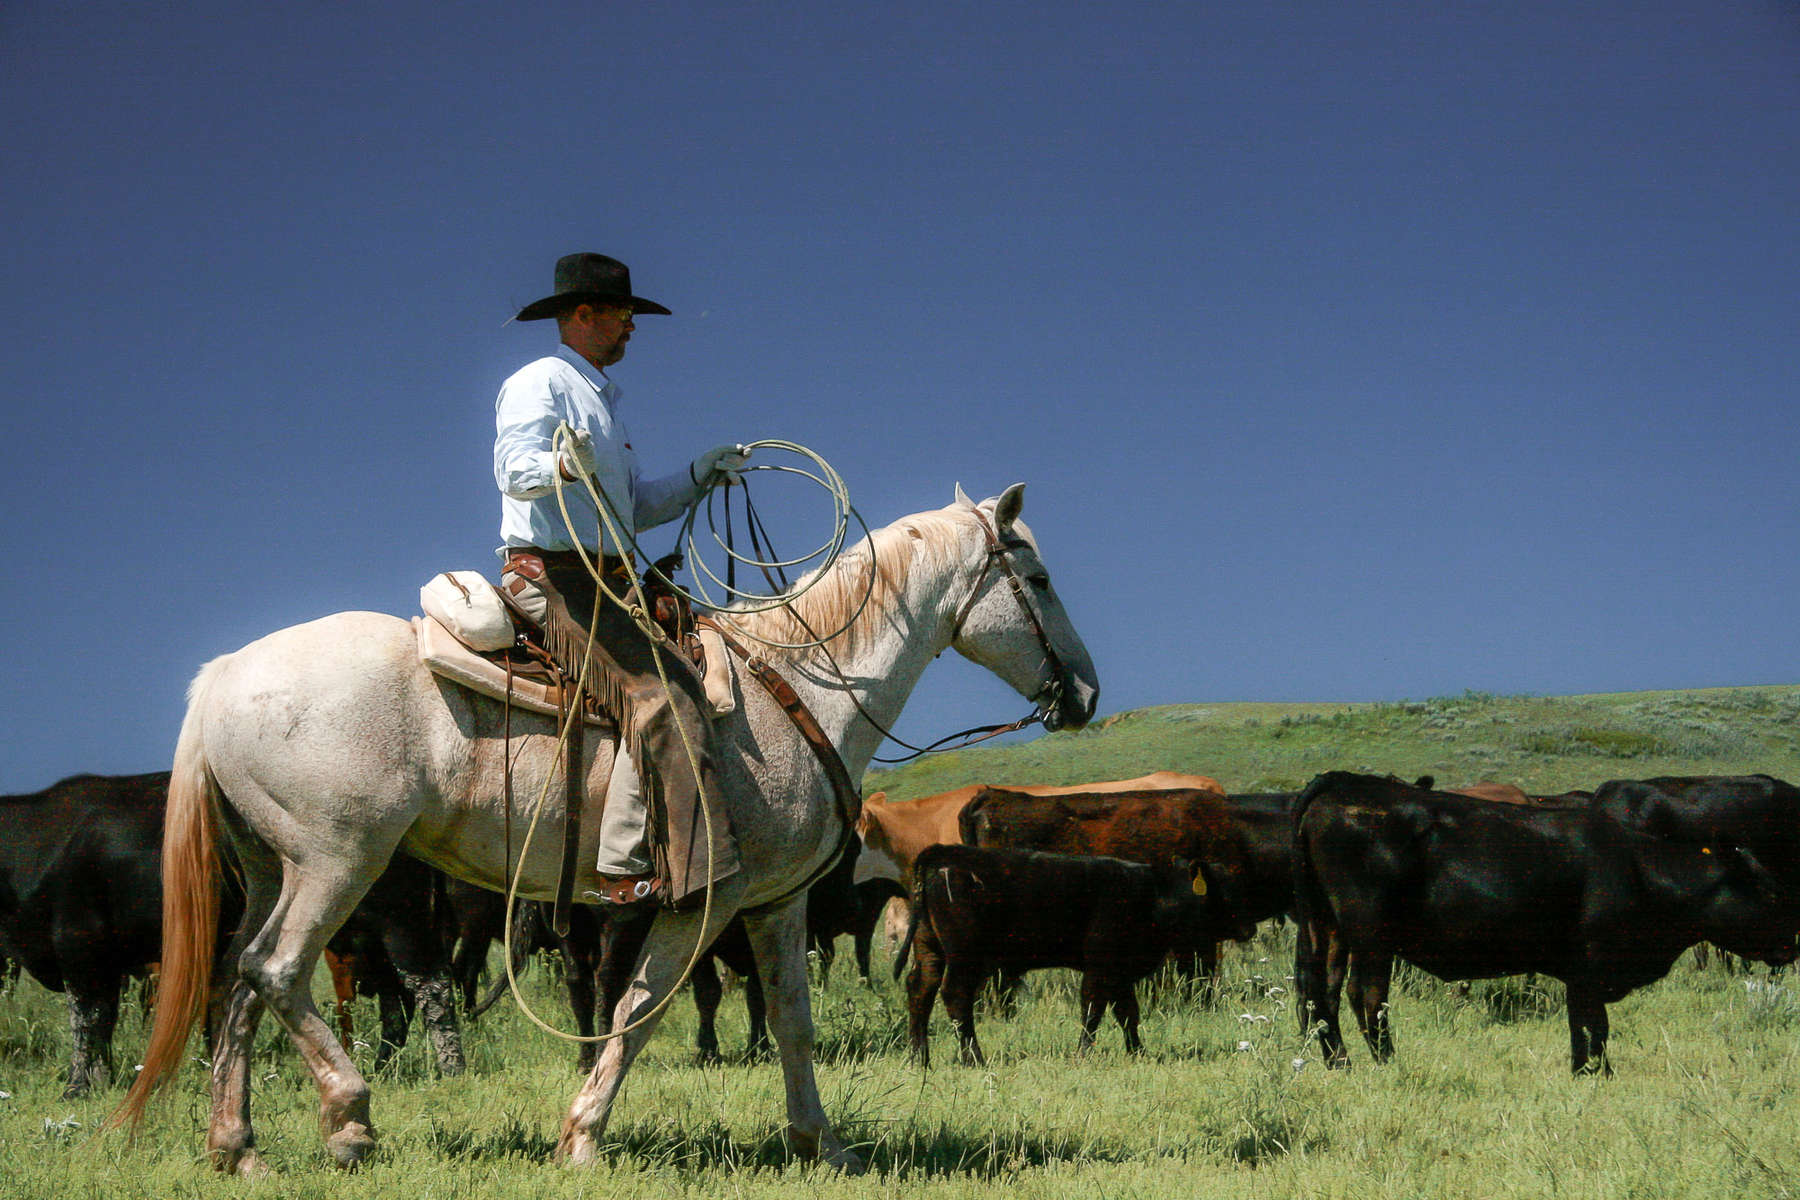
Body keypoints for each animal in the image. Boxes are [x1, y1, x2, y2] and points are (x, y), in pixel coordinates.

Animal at [116, 482, 1094, 1180]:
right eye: (1040, 580)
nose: (1083, 692)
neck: (805, 683)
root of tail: (224, 673)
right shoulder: (701, 903)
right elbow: (640, 1011)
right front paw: (582, 1138)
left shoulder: (774, 905)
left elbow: (791, 1022)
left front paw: (825, 1146)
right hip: (337, 862)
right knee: (277, 971)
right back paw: (349, 1121)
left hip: (272, 870)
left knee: (236, 984)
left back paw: (238, 1147)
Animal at [900, 841, 1224, 1065]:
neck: (1148, 892)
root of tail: (944, 852)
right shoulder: (1101, 965)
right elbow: (1092, 1009)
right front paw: (1083, 1054)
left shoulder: (1119, 971)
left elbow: (1128, 1013)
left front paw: (1138, 1052)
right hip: (964, 957)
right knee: (955, 995)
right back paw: (973, 1058)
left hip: (929, 950)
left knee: (920, 990)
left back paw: (919, 1059)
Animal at [1296, 773, 1800, 1072]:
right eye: (1772, 893)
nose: (1794, 941)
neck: (1637, 868)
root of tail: (1345, 784)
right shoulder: (1591, 965)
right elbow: (1595, 1027)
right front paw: (1598, 1074)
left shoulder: (1579, 974)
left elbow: (1582, 1026)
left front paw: (1584, 1072)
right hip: (1371, 937)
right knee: (1366, 996)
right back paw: (1387, 1062)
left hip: (1328, 928)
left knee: (1323, 992)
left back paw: (1338, 1061)